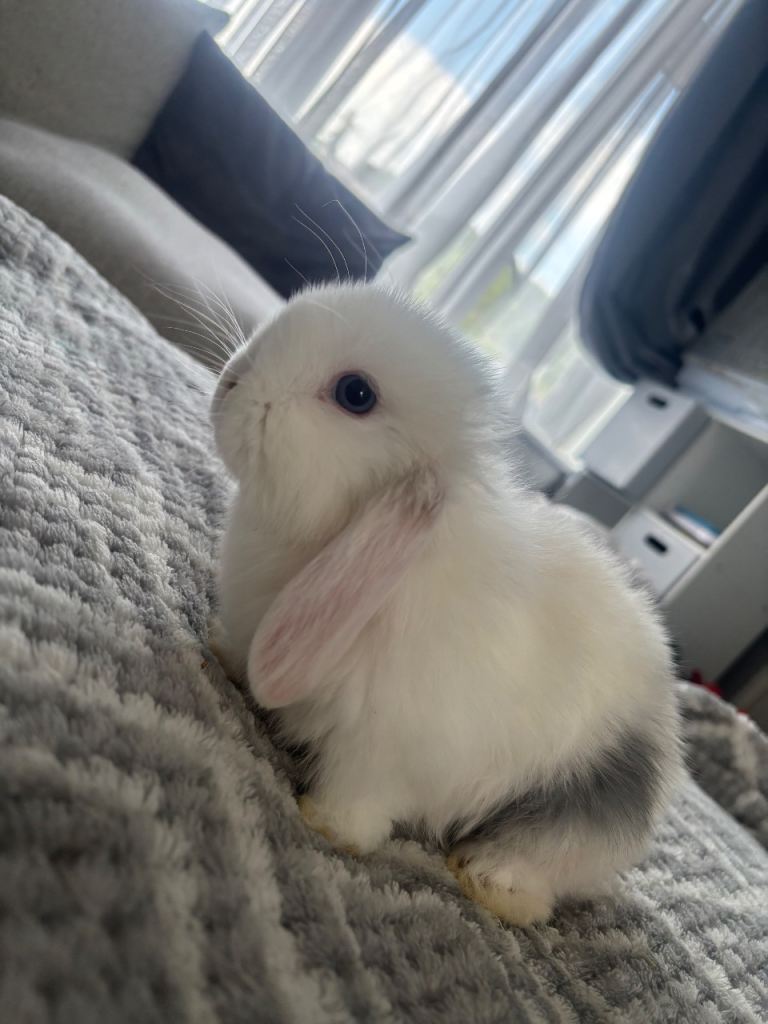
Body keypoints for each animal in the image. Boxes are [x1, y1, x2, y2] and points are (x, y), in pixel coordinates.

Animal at [211, 283, 683, 926]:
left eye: (355, 394)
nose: (230, 381)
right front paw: (219, 655)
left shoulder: (385, 749)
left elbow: (362, 798)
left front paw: (327, 826)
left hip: (567, 813)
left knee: (539, 872)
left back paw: (489, 883)